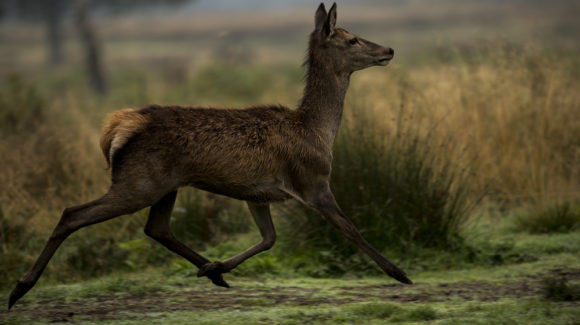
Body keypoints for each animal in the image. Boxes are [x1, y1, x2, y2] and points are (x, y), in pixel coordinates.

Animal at [5, 3, 412, 312]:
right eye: (351, 38)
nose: (389, 50)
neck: (319, 131)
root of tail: (117, 127)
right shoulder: (311, 181)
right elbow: (350, 229)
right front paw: (399, 273)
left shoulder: (258, 193)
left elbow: (269, 239)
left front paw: (218, 265)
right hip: (138, 182)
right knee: (72, 213)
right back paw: (19, 288)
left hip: (165, 185)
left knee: (157, 228)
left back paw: (211, 271)